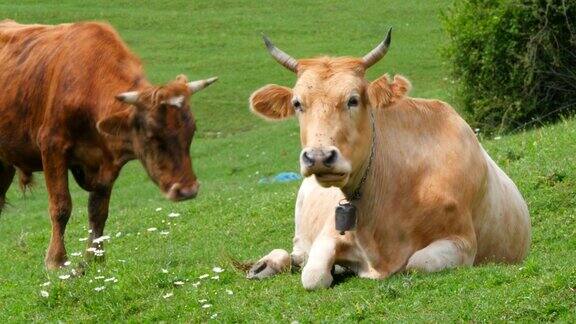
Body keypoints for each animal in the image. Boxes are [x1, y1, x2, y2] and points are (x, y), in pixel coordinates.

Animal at [0, 19, 217, 270]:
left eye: (192, 131)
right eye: (151, 136)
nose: (187, 190)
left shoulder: (106, 164)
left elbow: (98, 211)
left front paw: (95, 258)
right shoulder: (52, 147)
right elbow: (61, 206)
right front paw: (56, 261)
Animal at [248, 29, 532, 288]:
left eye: (353, 100)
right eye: (297, 103)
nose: (318, 156)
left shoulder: (462, 241)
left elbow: (417, 263)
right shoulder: (328, 234)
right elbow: (313, 276)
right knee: (295, 254)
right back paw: (263, 266)